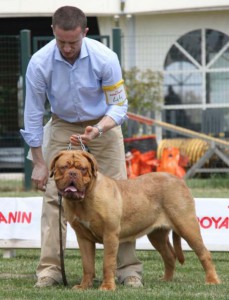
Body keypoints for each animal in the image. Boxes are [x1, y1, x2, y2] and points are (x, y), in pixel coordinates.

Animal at [50, 150, 220, 290]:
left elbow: (108, 263)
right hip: (157, 235)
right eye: (64, 167)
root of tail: (178, 180)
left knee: (204, 253)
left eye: (83, 169)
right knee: (169, 256)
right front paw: (84, 286)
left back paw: (212, 281)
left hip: (186, 225)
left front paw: (107, 287)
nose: (73, 174)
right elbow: (87, 265)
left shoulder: (110, 235)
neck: (83, 201)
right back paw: (166, 280)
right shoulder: (83, 238)